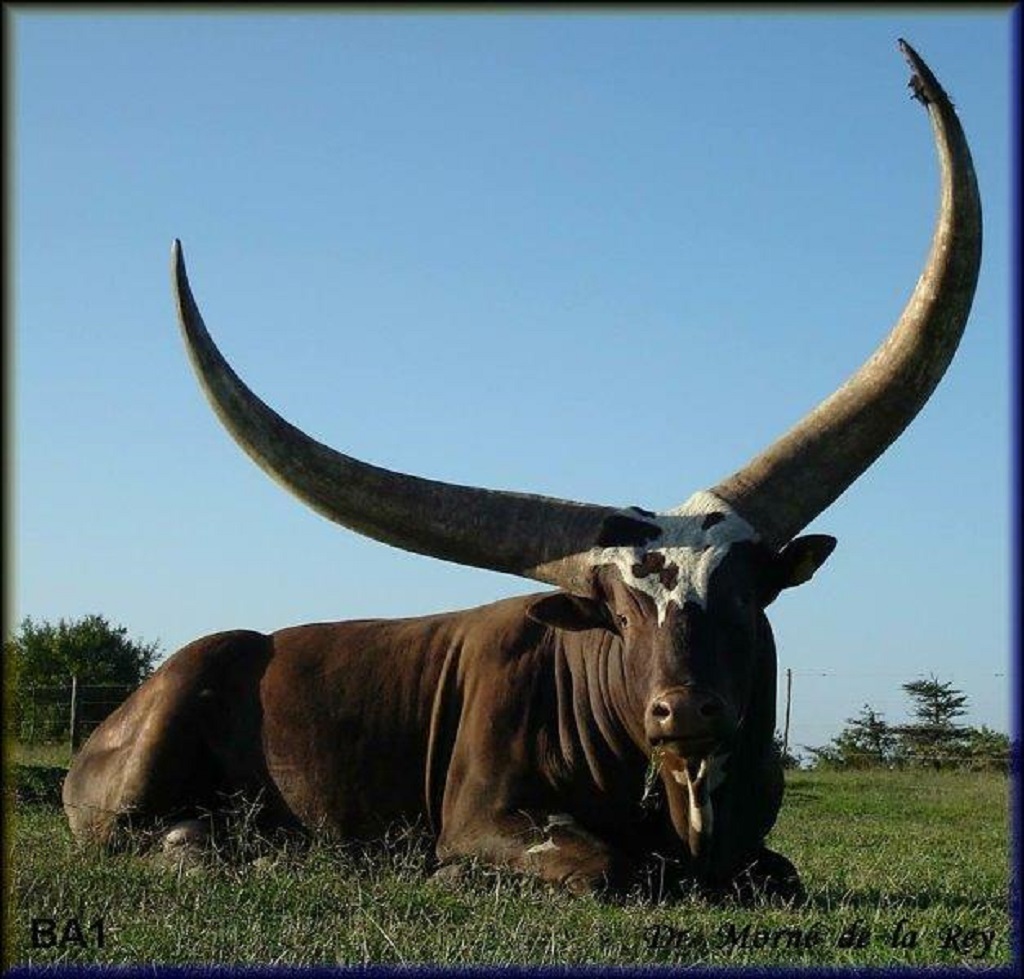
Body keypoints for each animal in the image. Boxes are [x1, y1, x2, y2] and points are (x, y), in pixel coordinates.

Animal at [62, 41, 981, 902]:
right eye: (619, 615)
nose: (683, 708)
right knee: (145, 834)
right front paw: (453, 876)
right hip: (167, 719)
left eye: (746, 595)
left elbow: (778, 873)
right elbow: (602, 866)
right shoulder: (486, 819)